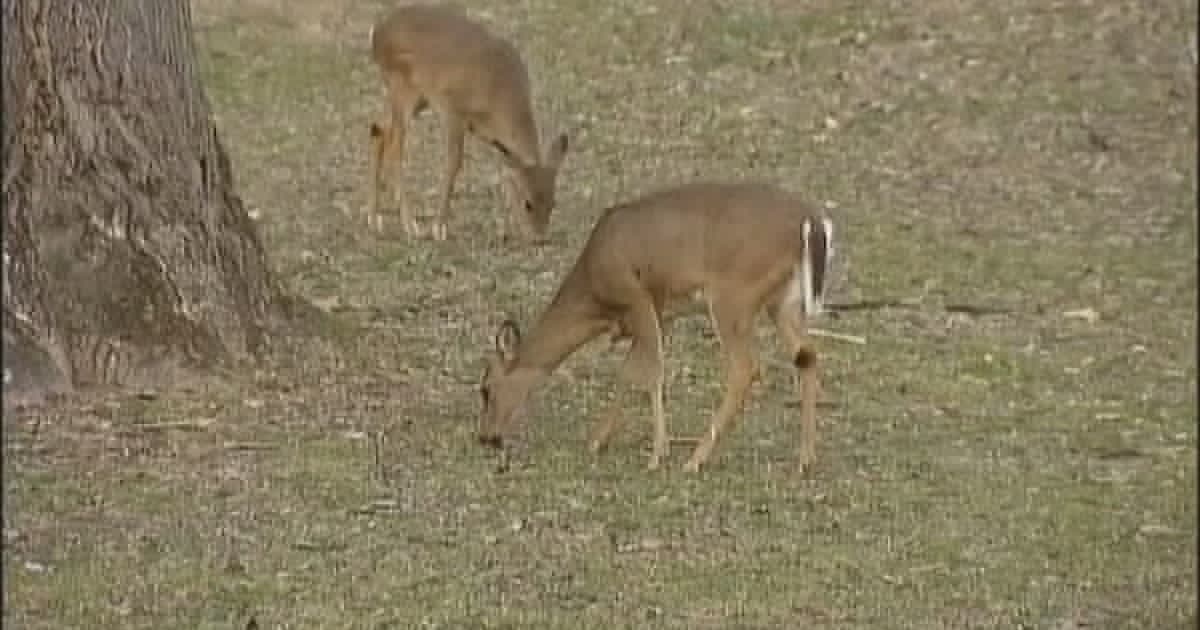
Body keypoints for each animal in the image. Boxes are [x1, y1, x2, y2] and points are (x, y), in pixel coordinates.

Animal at [367, 4, 570, 242]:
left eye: (553, 203)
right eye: (527, 204)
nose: (540, 237)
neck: (497, 89)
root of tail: (377, 34)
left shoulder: (494, 139)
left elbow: (504, 174)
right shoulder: (454, 112)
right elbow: (454, 163)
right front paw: (439, 227)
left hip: (416, 99)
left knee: (378, 130)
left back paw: (374, 219)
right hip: (403, 90)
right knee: (394, 148)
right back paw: (411, 225)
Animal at [478, 181, 837, 473]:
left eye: (486, 388)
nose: (486, 437)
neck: (594, 291)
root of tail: (812, 221)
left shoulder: (637, 298)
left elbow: (652, 373)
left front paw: (656, 454)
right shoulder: (658, 313)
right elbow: (629, 372)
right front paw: (598, 440)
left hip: (733, 296)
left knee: (745, 368)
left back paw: (695, 459)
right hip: (783, 302)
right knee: (808, 355)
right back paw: (805, 459)